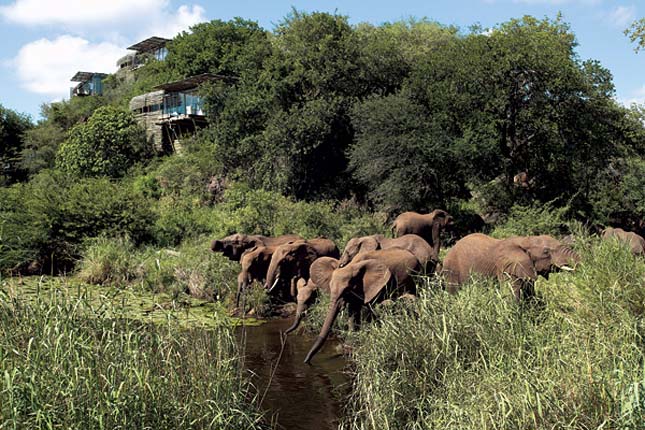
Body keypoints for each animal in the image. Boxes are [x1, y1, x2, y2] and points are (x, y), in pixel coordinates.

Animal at [442, 233, 580, 300]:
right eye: (546, 252)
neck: (524, 240)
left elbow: (530, 292)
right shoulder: (505, 268)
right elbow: (511, 295)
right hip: (451, 270)